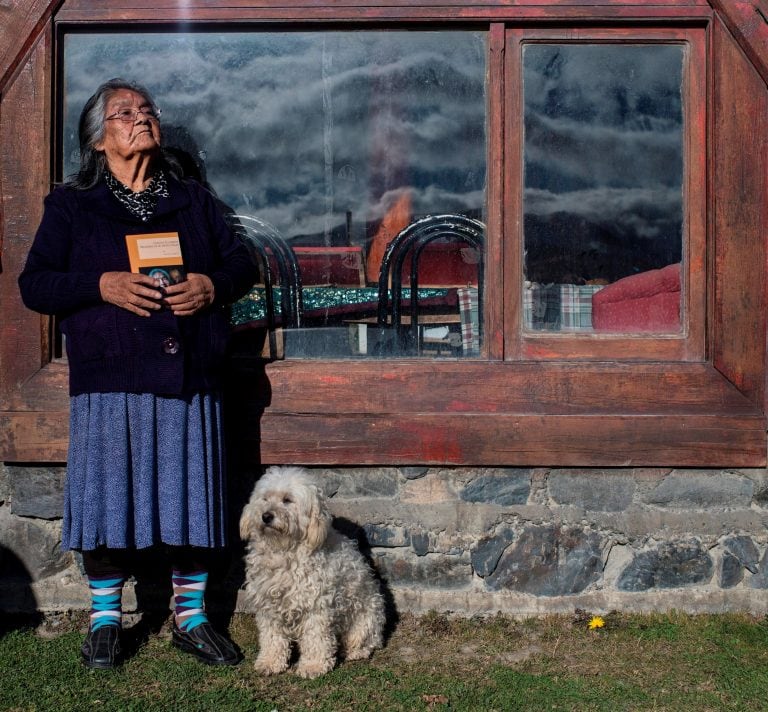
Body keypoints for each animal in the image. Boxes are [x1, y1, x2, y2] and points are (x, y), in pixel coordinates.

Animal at [238, 468, 384, 680]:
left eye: (287, 500)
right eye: (265, 498)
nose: (266, 516)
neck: (284, 551)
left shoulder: (316, 606)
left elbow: (316, 638)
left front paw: (313, 666)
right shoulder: (269, 606)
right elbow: (272, 637)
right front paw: (270, 662)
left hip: (366, 619)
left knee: (365, 642)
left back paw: (354, 651)